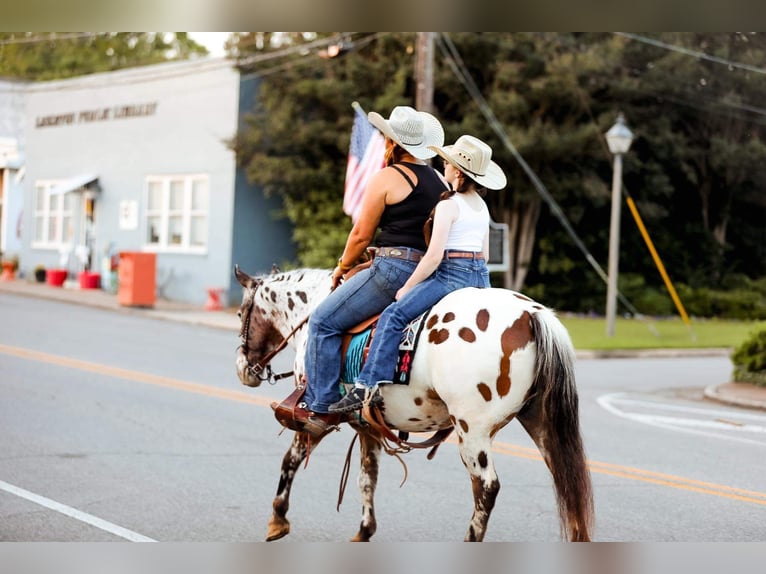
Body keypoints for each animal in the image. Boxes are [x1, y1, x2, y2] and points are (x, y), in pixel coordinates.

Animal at [234, 266, 592, 544]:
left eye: (240, 314)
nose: (243, 369)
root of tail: (532, 315)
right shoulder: (367, 424)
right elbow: (367, 475)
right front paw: (364, 530)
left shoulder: (313, 417)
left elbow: (290, 460)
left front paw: (278, 519)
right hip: (542, 424)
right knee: (569, 482)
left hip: (472, 431)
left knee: (486, 488)